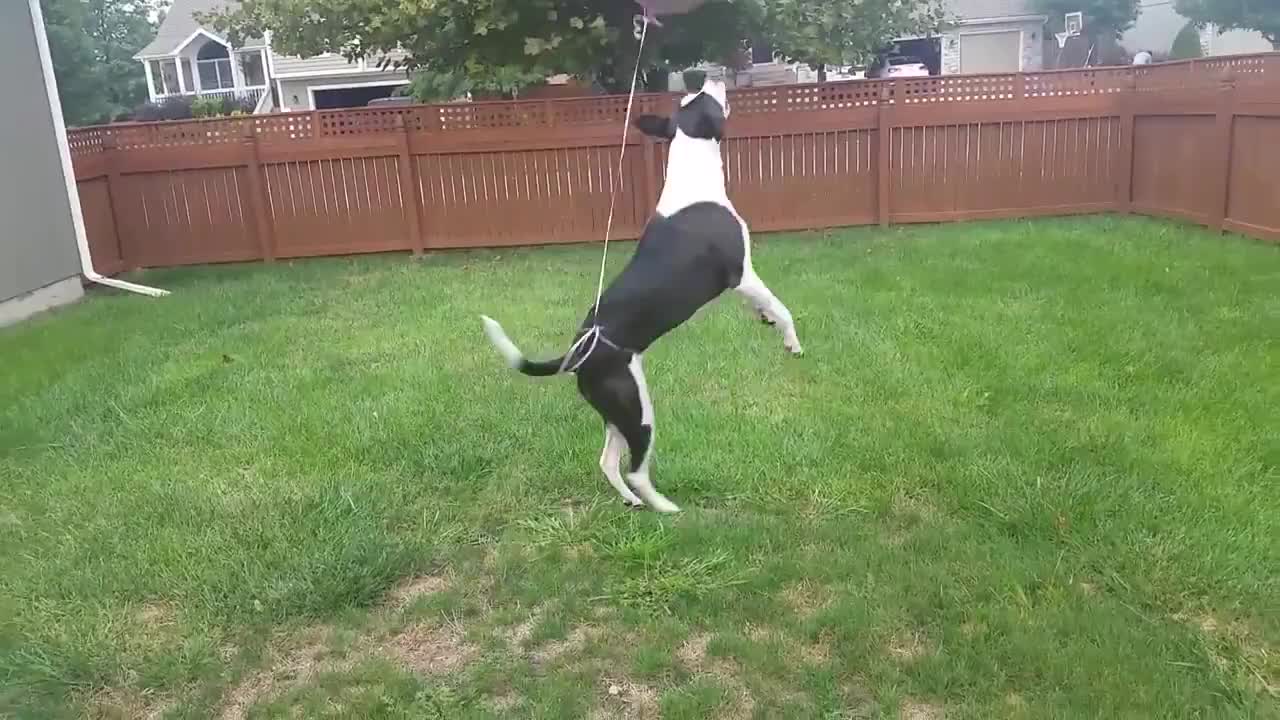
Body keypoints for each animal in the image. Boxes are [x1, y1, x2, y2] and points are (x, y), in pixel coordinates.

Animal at [481, 79, 798, 509]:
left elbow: (765, 307)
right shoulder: (742, 274)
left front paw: (765, 320)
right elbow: (781, 307)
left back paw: (632, 501)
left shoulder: (745, 285)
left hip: (618, 414)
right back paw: (664, 507)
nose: (709, 76)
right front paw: (791, 341)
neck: (692, 177)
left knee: (607, 461)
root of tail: (577, 355)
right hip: (638, 411)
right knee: (636, 469)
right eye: (705, 99)